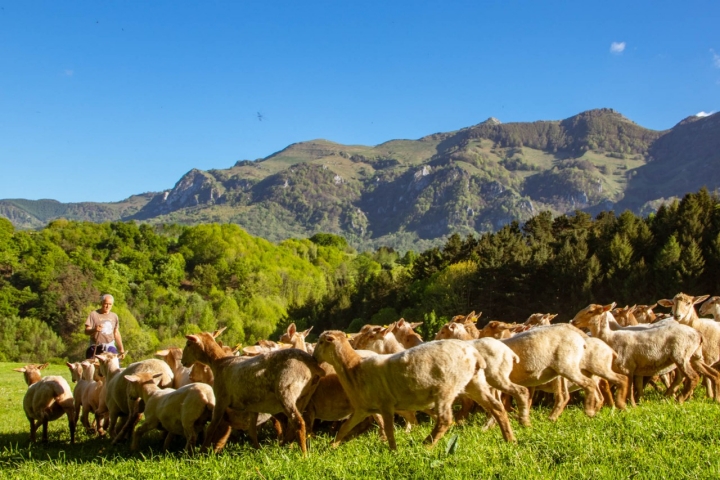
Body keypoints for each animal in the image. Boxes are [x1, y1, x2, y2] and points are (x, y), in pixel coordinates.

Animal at [181, 328, 326, 454]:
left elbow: (212, 426)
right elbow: (252, 431)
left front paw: (201, 452)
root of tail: (313, 365)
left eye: (188, 344)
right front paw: (258, 450)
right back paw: (286, 447)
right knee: (294, 424)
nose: (182, 362)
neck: (219, 363)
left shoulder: (221, 399)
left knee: (298, 422)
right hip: (305, 395)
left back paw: (303, 455)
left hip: (286, 390)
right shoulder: (252, 406)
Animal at [313, 331, 515, 450]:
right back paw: (510, 439)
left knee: (445, 419)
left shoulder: (385, 405)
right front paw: (331, 446)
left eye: (321, 342)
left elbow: (389, 429)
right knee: (497, 407)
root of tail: (474, 355)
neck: (353, 367)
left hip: (446, 388)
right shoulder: (363, 409)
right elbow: (344, 428)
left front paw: (392, 451)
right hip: (474, 383)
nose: (314, 358)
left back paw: (426, 444)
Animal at [571, 303, 719, 405]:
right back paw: (714, 397)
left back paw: (680, 399)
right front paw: (635, 402)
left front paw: (630, 404)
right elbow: (635, 386)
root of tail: (698, 333)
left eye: (591, 311)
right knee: (712, 373)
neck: (610, 336)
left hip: (681, 355)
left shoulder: (627, 366)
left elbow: (629, 387)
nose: (573, 321)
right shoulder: (634, 369)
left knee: (693, 377)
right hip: (695, 357)